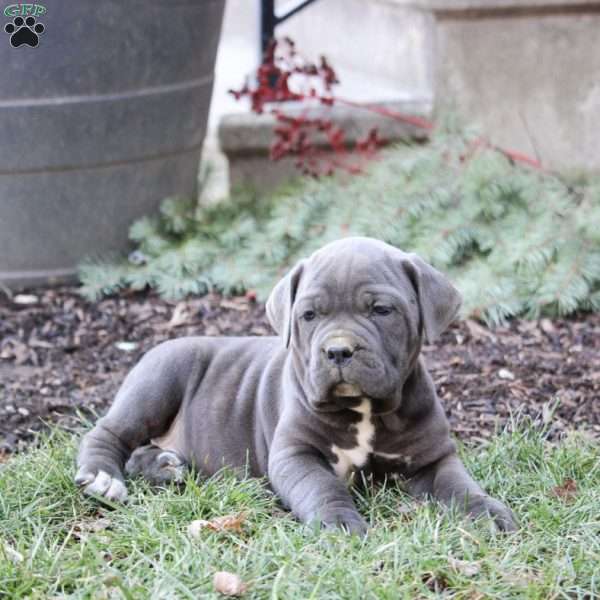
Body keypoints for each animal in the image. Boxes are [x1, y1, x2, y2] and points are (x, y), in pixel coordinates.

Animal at [75, 237, 516, 532]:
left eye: (380, 310)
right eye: (309, 315)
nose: (338, 350)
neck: (365, 410)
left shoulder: (433, 458)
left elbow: (460, 486)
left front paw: (488, 513)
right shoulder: (295, 456)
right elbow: (322, 487)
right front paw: (339, 522)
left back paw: (166, 465)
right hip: (159, 380)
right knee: (108, 433)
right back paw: (103, 476)